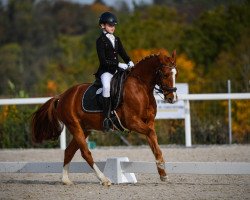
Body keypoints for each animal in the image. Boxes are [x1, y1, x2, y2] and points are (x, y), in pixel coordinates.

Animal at [31, 50, 178, 186]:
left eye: (175, 74)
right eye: (165, 74)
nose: (172, 98)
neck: (140, 87)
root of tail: (62, 96)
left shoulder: (149, 122)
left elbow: (153, 141)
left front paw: (162, 173)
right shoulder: (132, 122)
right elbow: (151, 135)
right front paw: (161, 166)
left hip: (85, 129)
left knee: (69, 151)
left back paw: (66, 180)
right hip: (75, 126)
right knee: (85, 153)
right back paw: (104, 179)